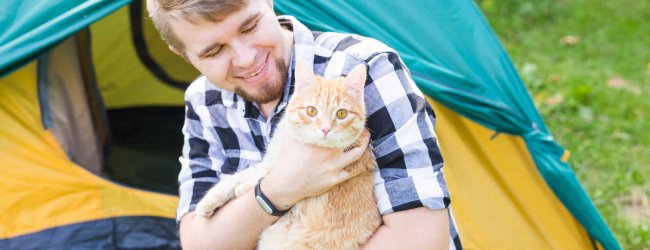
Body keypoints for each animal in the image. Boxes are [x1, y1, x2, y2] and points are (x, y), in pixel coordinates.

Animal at [195, 61, 382, 249]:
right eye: (311, 111)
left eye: (342, 114)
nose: (325, 129)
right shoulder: (270, 160)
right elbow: (241, 175)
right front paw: (208, 202)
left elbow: (260, 175)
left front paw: (244, 187)